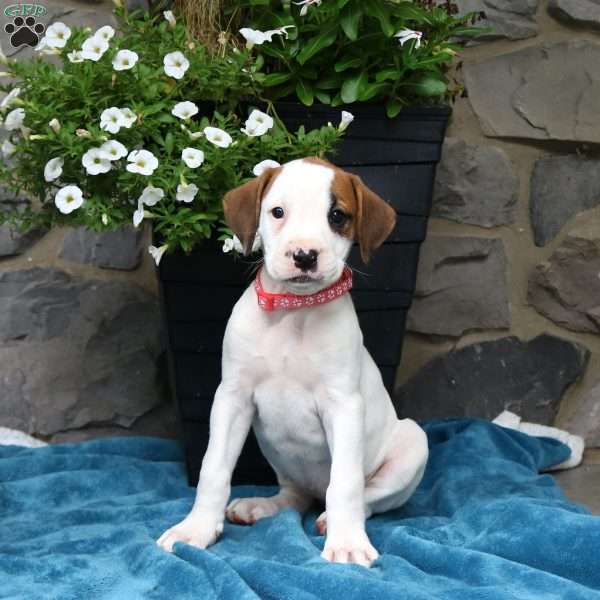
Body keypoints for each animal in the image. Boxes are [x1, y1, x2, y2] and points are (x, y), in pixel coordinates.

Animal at [157, 156, 428, 568]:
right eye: (278, 212)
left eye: (337, 215)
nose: (304, 255)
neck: (293, 311)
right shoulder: (232, 398)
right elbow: (213, 469)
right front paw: (196, 529)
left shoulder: (344, 406)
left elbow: (346, 482)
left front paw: (347, 542)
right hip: (279, 455)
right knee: (294, 497)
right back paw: (261, 506)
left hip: (414, 442)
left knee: (365, 497)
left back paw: (333, 519)